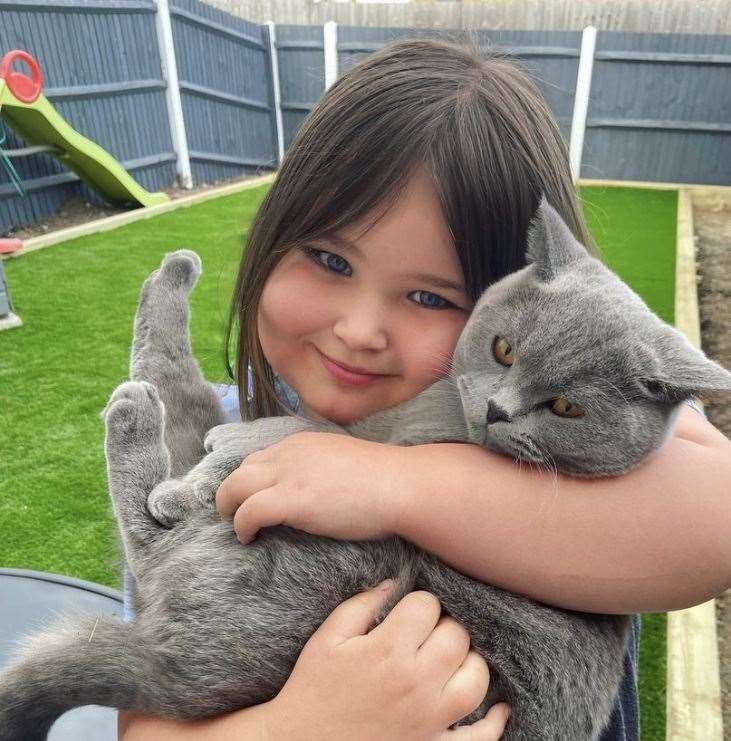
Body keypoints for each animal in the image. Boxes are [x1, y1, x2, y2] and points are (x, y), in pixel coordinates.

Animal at [1, 198, 731, 740]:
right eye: (503, 349)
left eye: (566, 407)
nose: (497, 410)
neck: (435, 409)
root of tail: (185, 674)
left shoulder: (375, 443)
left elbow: (305, 434)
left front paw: (223, 459)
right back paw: (173, 283)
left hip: (325, 557)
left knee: (155, 509)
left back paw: (144, 411)